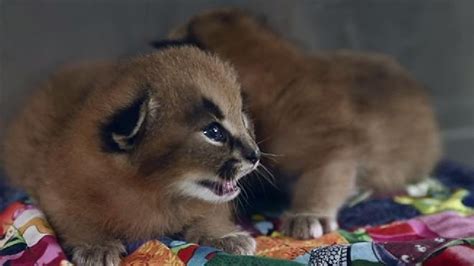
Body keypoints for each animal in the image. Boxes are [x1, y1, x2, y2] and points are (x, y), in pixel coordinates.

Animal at [1, 46, 260, 264]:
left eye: (243, 118)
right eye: (213, 132)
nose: (255, 155)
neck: (155, 193)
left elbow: (209, 213)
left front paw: (224, 236)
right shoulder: (53, 190)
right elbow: (76, 218)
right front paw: (97, 246)